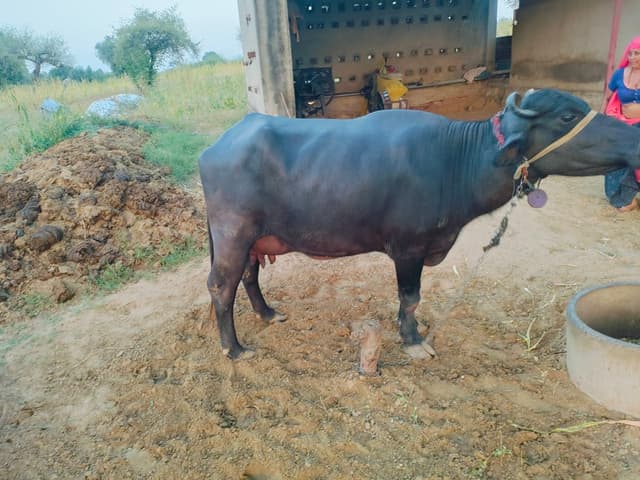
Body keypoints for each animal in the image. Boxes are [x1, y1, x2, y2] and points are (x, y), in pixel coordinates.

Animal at [199, 88, 640, 360]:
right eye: (567, 116)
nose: (634, 142)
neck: (454, 160)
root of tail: (215, 148)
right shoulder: (408, 248)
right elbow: (410, 297)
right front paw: (413, 341)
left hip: (254, 239)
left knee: (249, 277)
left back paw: (268, 314)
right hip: (233, 233)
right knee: (221, 286)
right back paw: (234, 348)